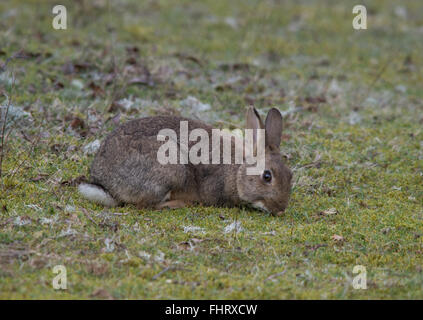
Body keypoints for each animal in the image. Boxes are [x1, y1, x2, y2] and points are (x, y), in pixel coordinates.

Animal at [78, 107, 294, 215]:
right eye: (267, 176)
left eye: (291, 175)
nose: (281, 210)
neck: (238, 170)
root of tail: (105, 183)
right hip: (171, 170)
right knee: (145, 205)